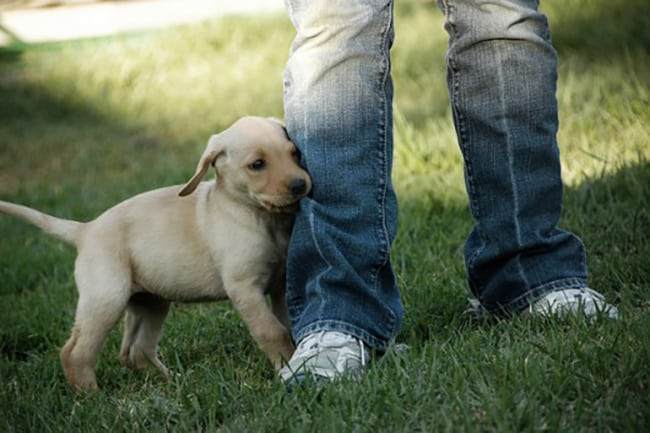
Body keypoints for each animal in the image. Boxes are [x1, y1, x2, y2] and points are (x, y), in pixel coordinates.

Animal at [0, 116, 312, 390]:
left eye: (294, 153)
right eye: (257, 164)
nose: (300, 185)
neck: (258, 215)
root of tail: (86, 230)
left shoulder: (281, 283)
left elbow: (287, 323)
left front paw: (296, 355)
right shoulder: (244, 288)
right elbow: (272, 330)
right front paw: (288, 366)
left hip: (150, 301)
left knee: (134, 351)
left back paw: (171, 381)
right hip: (106, 298)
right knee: (75, 351)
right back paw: (91, 396)